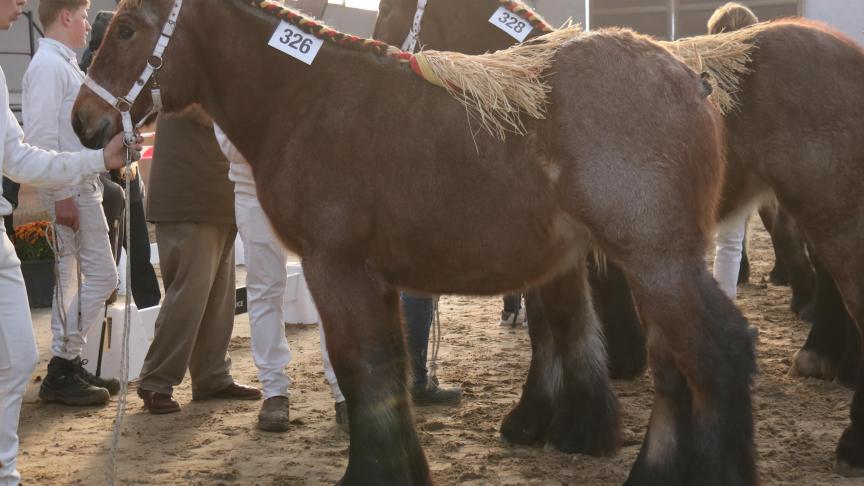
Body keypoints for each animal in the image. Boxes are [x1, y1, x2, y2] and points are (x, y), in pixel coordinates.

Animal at [72, 1, 756, 484]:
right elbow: (391, 371)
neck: (305, 100)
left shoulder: (336, 267)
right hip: (656, 266)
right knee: (674, 367)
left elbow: (364, 371)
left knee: (715, 354)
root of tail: (689, 77)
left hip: (658, 261)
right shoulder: (378, 278)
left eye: (127, 29)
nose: (84, 122)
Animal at [382, 0, 864, 476]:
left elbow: (559, 325)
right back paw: (827, 358)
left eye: (387, 13)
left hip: (827, 210)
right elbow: (555, 325)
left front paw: (564, 423)